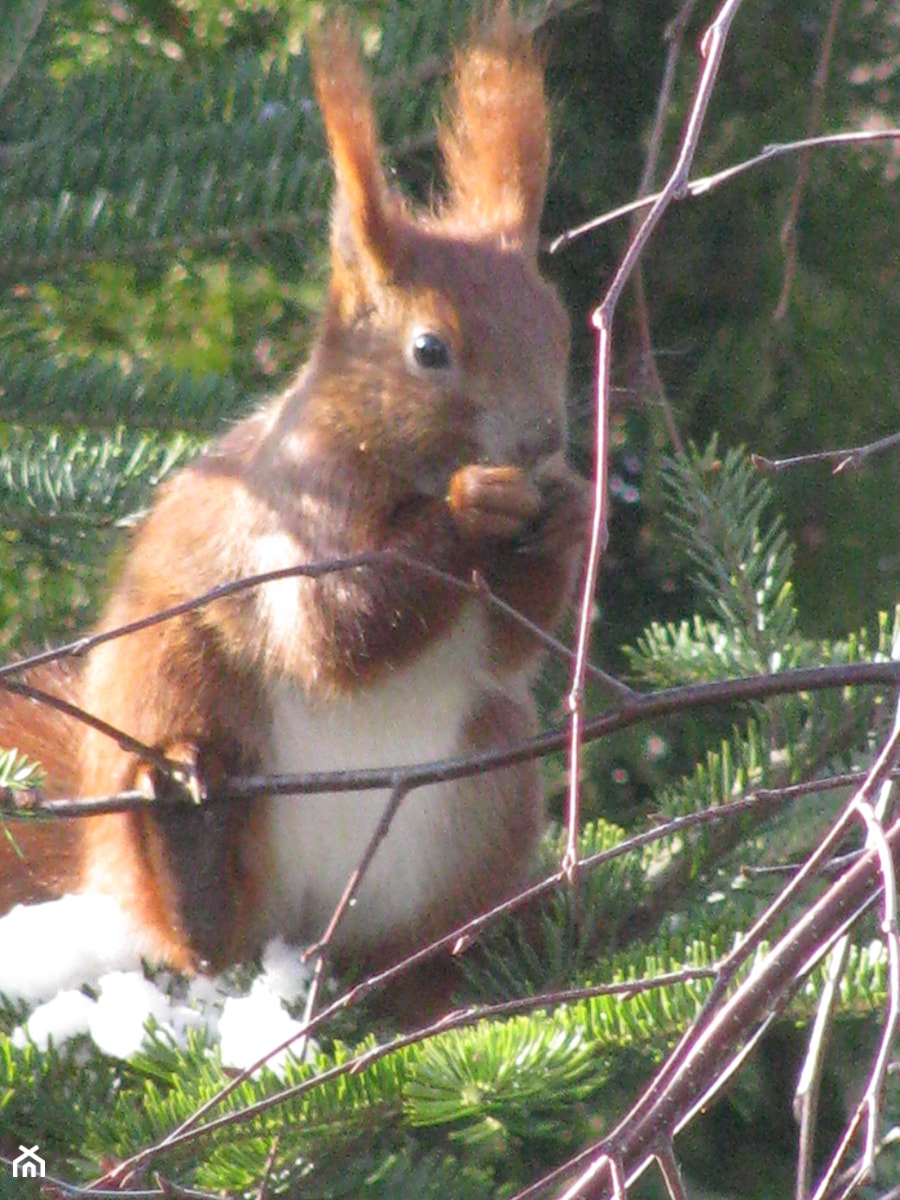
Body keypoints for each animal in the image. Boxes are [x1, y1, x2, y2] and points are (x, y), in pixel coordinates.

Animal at [0, 9, 592, 993]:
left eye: (559, 326)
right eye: (430, 351)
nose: (543, 441)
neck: (396, 470)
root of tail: (309, 931)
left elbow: (510, 647)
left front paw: (575, 513)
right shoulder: (291, 518)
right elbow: (335, 628)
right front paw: (474, 505)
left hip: (493, 774)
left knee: (412, 945)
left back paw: (445, 970)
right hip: (170, 678)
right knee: (201, 936)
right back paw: (193, 857)